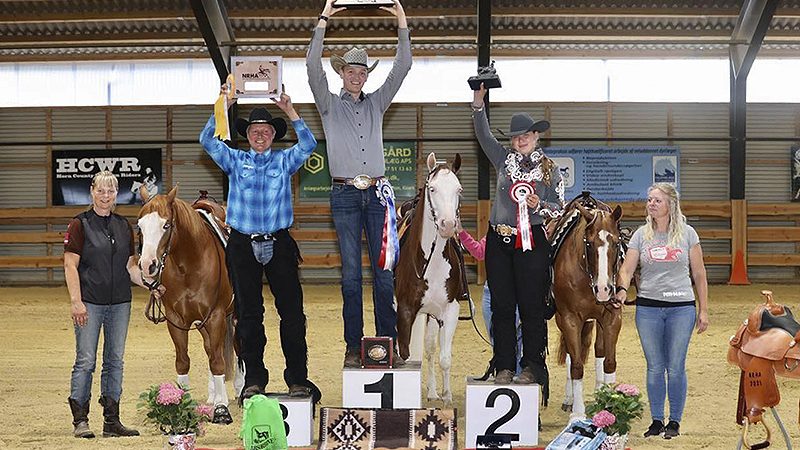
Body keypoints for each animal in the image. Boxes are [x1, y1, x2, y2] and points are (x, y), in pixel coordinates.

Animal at [138, 185, 239, 424]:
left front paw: (221, 409)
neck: (189, 265)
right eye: (140, 226)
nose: (147, 265)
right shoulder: (177, 320)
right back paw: (213, 395)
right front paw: (181, 404)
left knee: (236, 348)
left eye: (166, 225)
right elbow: (184, 360)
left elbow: (218, 361)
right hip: (202, 324)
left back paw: (241, 390)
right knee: (211, 348)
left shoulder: (216, 316)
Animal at [396, 152, 466, 404]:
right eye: (433, 189)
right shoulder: (406, 310)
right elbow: (406, 355)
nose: (448, 225)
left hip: (432, 315)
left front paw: (446, 396)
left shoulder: (449, 310)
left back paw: (433, 391)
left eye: (458, 189)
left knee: (429, 349)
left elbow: (444, 357)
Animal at [552, 192, 624, 416]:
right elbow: (576, 366)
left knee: (599, 351)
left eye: (616, 243)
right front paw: (577, 413)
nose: (604, 289)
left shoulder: (612, 317)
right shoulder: (569, 319)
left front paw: (610, 404)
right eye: (589, 244)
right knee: (570, 356)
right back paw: (569, 399)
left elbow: (609, 362)